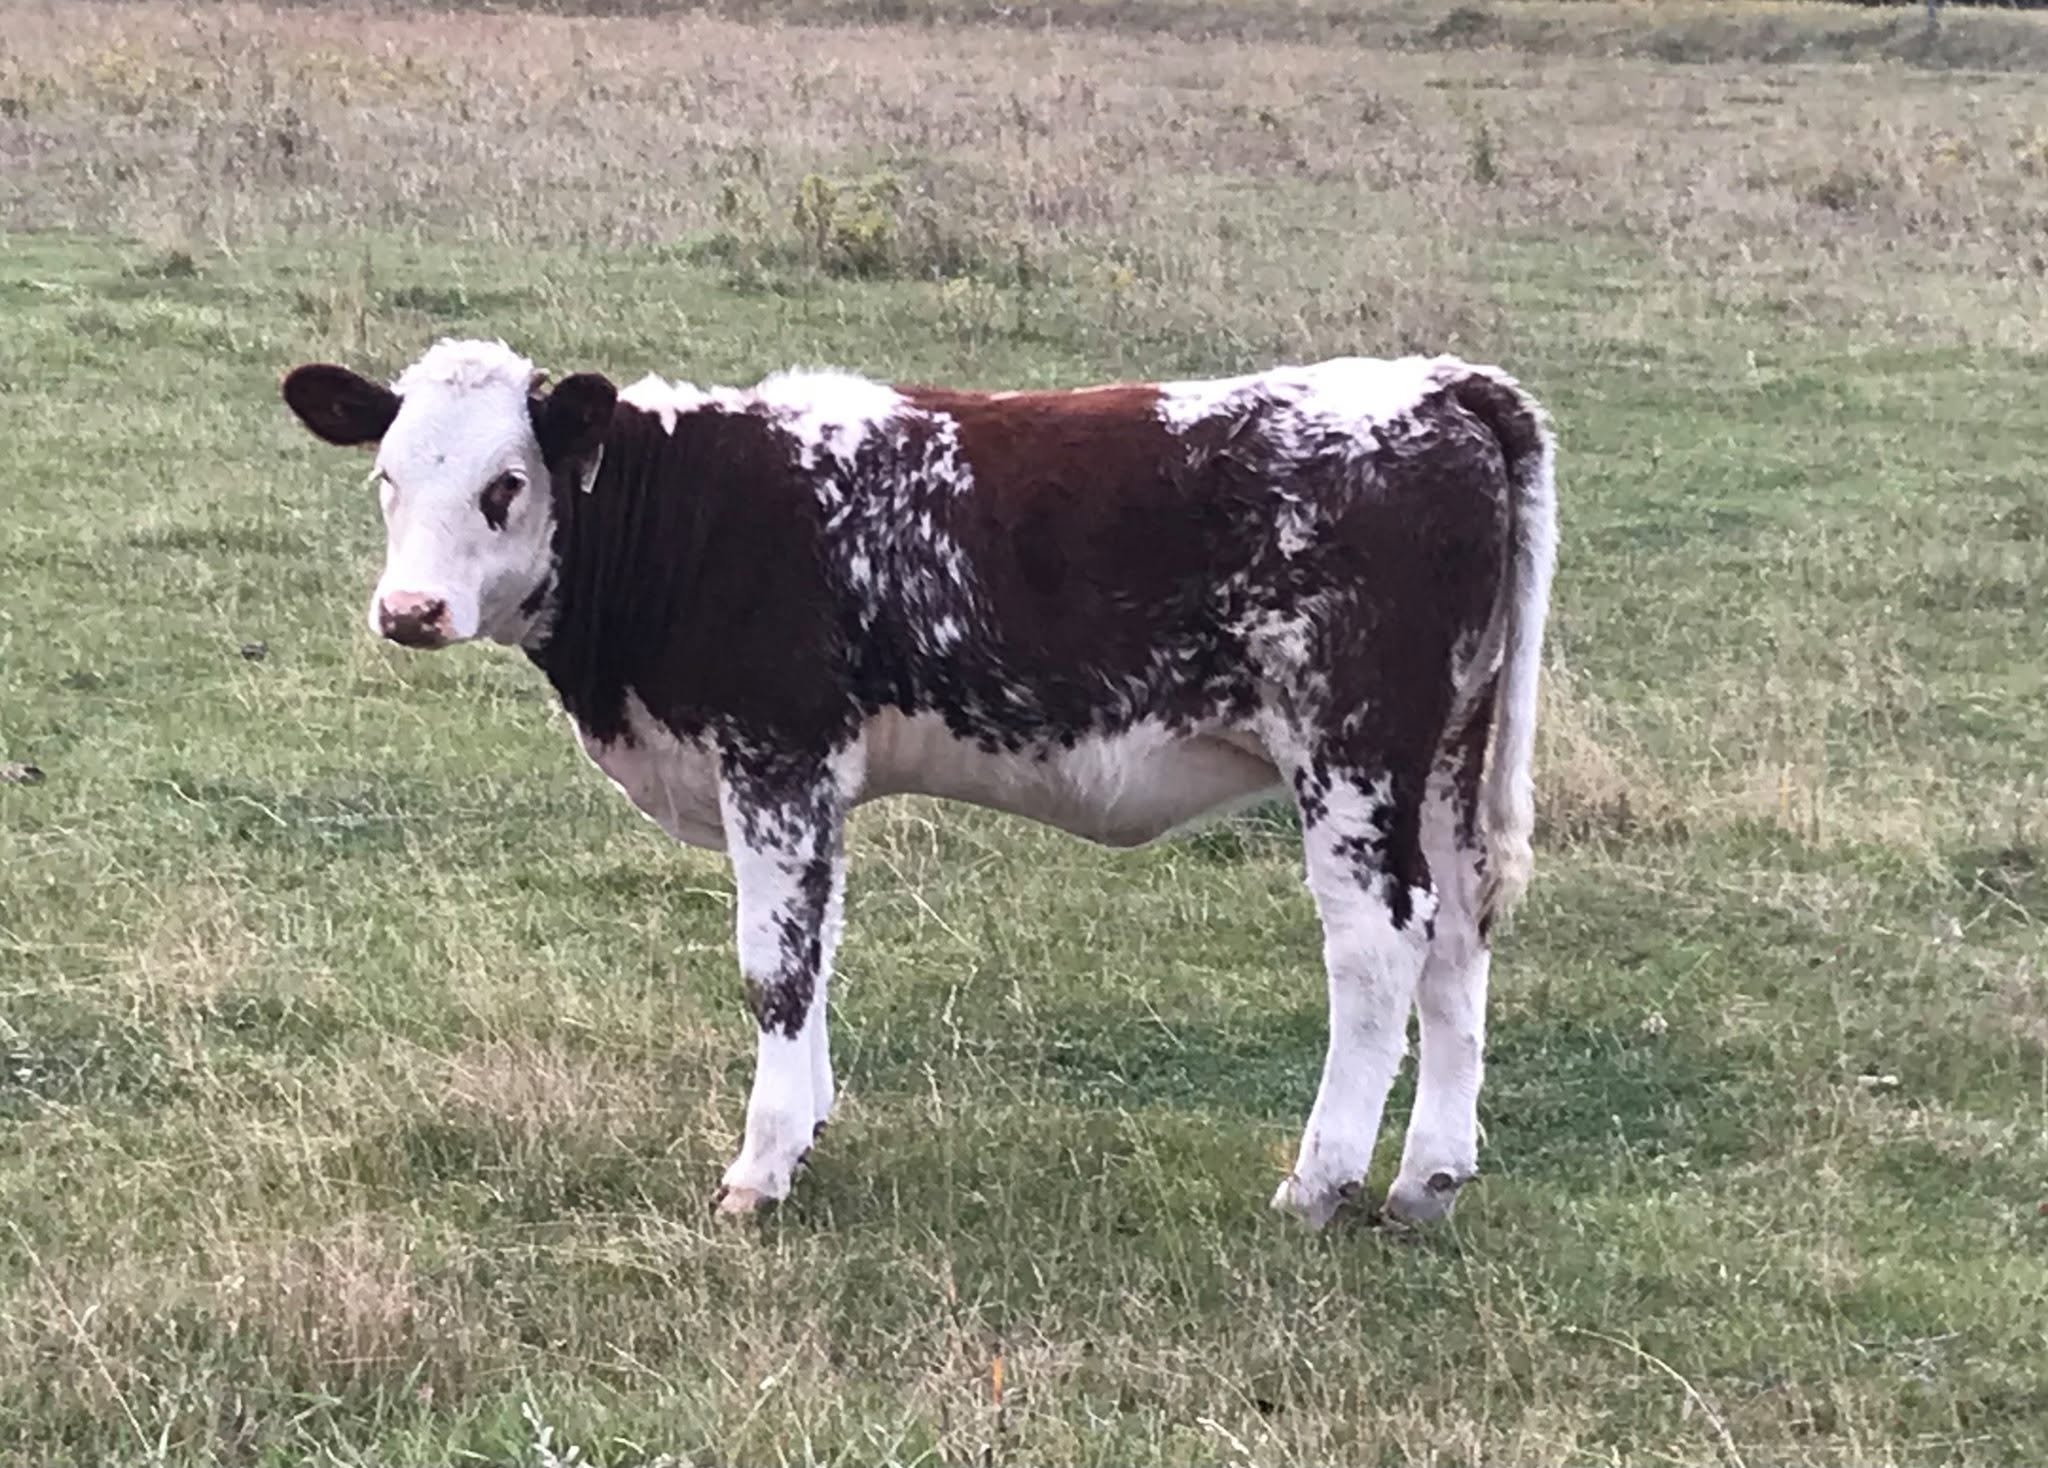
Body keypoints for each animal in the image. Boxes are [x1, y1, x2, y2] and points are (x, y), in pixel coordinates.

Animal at [281, 338, 1557, 1229]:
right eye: (387, 478)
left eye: (505, 483)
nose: (409, 611)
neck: (694, 512)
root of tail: (1437, 384)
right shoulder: (811, 784)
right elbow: (819, 945)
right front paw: (809, 1126)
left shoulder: (775, 756)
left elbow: (776, 966)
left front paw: (761, 1166)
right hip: (1443, 762)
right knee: (1458, 935)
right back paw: (1425, 1180)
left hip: (1350, 757)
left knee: (1379, 942)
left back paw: (1319, 1181)